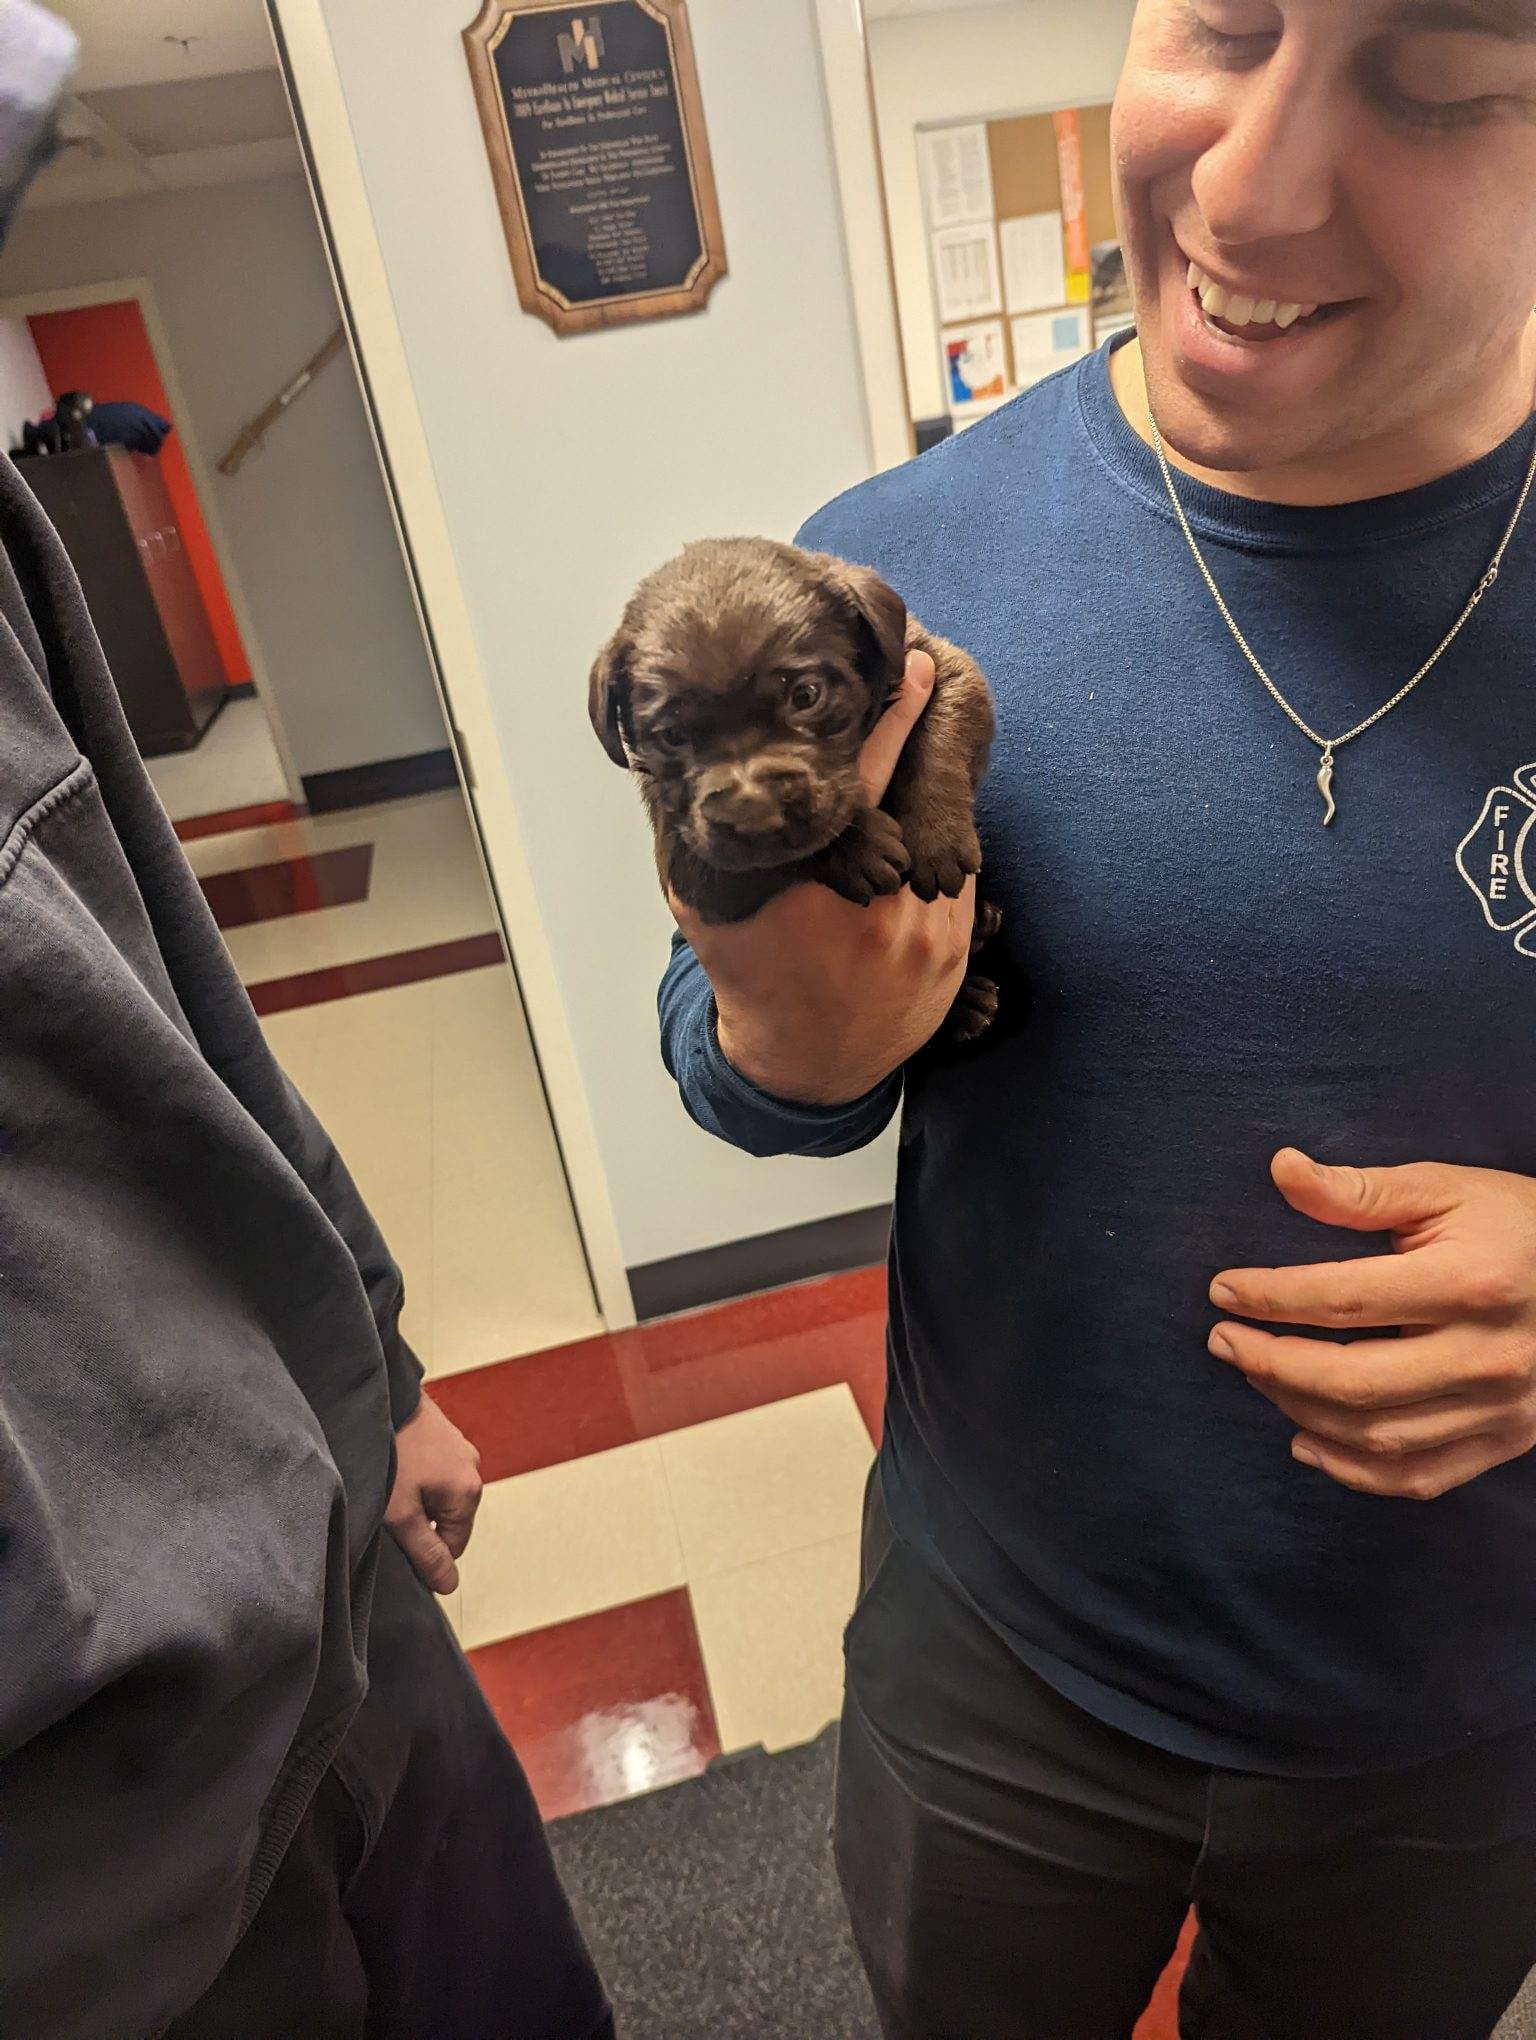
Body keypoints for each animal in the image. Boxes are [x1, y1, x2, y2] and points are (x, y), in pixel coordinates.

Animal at [591, 534, 999, 1044]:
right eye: (672, 736)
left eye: (806, 695)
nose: (752, 813)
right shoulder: (691, 865)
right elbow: (785, 855)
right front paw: (857, 847)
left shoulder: (940, 665)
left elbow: (940, 737)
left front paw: (935, 838)